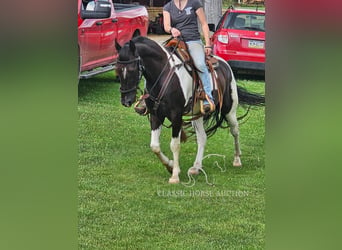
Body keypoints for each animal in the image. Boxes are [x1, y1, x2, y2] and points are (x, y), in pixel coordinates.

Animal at [115, 35, 264, 184]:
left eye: (132, 69)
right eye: (117, 69)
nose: (126, 101)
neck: (164, 75)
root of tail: (225, 65)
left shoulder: (176, 116)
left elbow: (174, 145)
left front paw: (175, 175)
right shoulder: (155, 115)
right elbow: (155, 146)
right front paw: (169, 166)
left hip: (229, 110)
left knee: (235, 131)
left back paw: (237, 159)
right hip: (197, 114)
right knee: (202, 137)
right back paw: (196, 167)